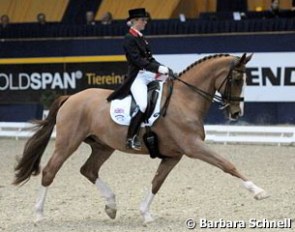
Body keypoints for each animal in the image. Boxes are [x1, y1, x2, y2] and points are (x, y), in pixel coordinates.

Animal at [13, 53, 270, 224]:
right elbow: (227, 164)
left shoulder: (174, 155)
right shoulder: (193, 147)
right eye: (236, 80)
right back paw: (38, 216)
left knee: (88, 170)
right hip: (68, 143)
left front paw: (146, 214)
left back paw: (111, 206)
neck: (185, 100)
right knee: (50, 171)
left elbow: (157, 182)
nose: (236, 113)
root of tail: (71, 97)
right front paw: (258, 191)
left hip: (103, 146)